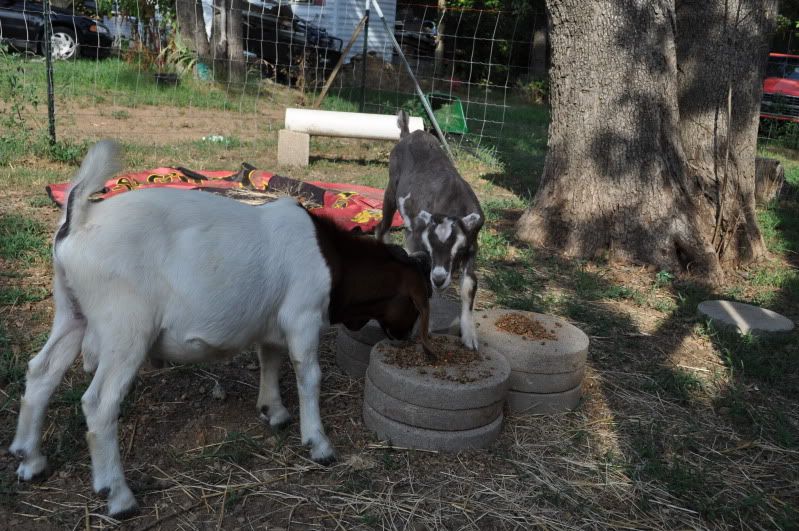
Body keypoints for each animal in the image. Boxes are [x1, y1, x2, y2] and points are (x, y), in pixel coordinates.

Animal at [10, 140, 433, 518]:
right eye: (418, 300)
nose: (403, 338)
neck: (333, 260)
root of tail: (79, 219)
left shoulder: (271, 320)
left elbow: (270, 358)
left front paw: (274, 411)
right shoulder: (303, 315)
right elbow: (308, 374)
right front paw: (319, 444)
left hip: (72, 311)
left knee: (41, 372)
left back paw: (31, 461)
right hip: (125, 328)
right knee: (99, 403)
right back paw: (118, 496)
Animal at [375, 112, 484, 349]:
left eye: (458, 251)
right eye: (431, 248)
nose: (440, 278)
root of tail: (409, 133)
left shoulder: (472, 247)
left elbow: (468, 286)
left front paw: (470, 336)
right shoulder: (419, 243)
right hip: (390, 191)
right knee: (381, 227)